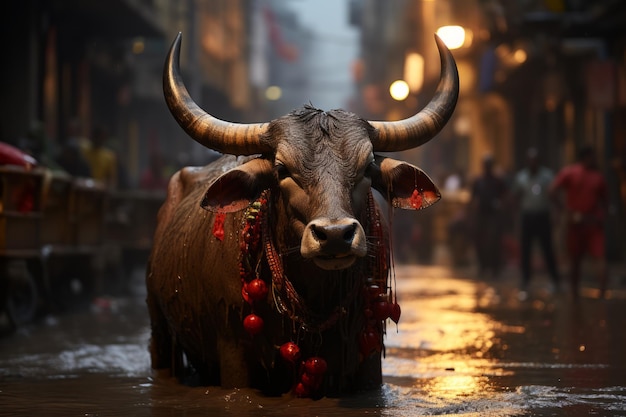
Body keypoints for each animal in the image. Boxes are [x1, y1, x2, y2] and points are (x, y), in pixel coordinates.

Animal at [146, 32, 458, 396]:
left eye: (367, 167)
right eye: (282, 169)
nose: (335, 236)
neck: (316, 292)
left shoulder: (367, 357)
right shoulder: (233, 351)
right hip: (159, 331)